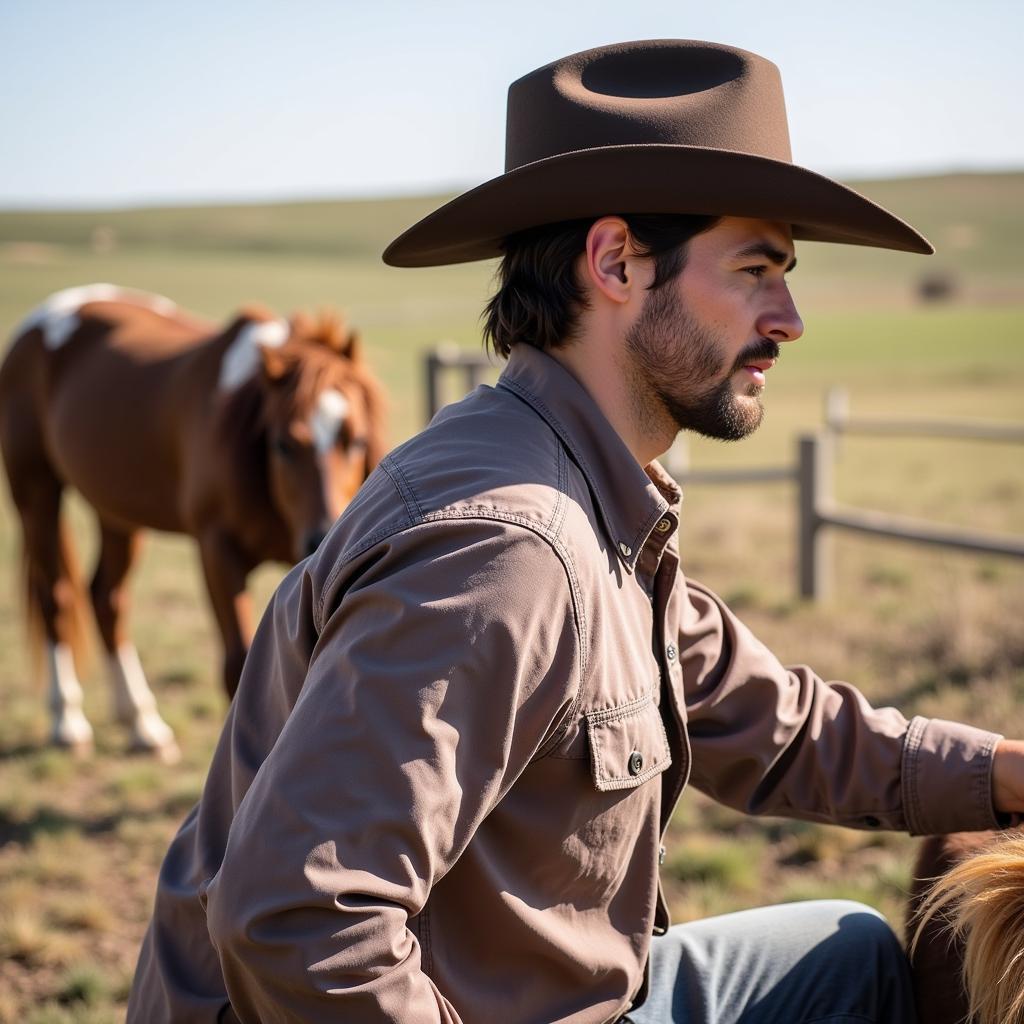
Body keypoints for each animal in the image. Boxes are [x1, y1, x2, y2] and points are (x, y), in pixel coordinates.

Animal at [1, 284, 385, 765]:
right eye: (282, 444)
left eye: (357, 440)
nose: (322, 536)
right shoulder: (217, 553)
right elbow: (240, 666)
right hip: (36, 493)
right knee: (56, 596)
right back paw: (67, 722)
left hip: (117, 514)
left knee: (107, 599)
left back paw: (142, 725)